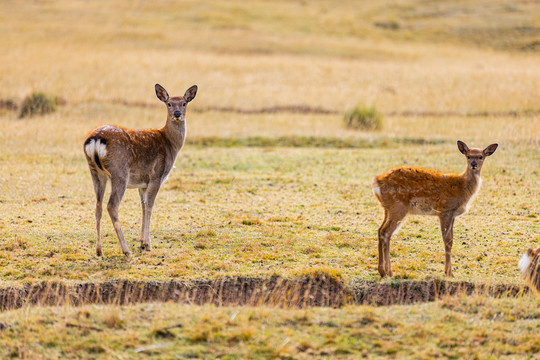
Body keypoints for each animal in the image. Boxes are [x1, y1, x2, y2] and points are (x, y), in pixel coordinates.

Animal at [82, 84, 196, 258]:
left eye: (184, 103)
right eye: (169, 103)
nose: (177, 114)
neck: (170, 144)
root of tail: (95, 140)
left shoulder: (142, 183)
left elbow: (142, 206)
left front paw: (142, 241)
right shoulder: (156, 176)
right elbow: (149, 206)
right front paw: (148, 244)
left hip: (95, 172)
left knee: (98, 206)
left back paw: (99, 250)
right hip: (119, 172)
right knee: (111, 206)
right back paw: (126, 250)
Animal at [372, 141, 498, 276]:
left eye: (480, 156)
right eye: (468, 156)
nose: (473, 164)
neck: (462, 188)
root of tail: (377, 182)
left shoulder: (452, 214)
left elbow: (451, 240)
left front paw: (448, 271)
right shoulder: (445, 209)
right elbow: (447, 241)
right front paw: (449, 273)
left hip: (388, 208)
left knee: (380, 230)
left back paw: (381, 271)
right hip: (398, 207)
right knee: (385, 232)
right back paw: (389, 272)